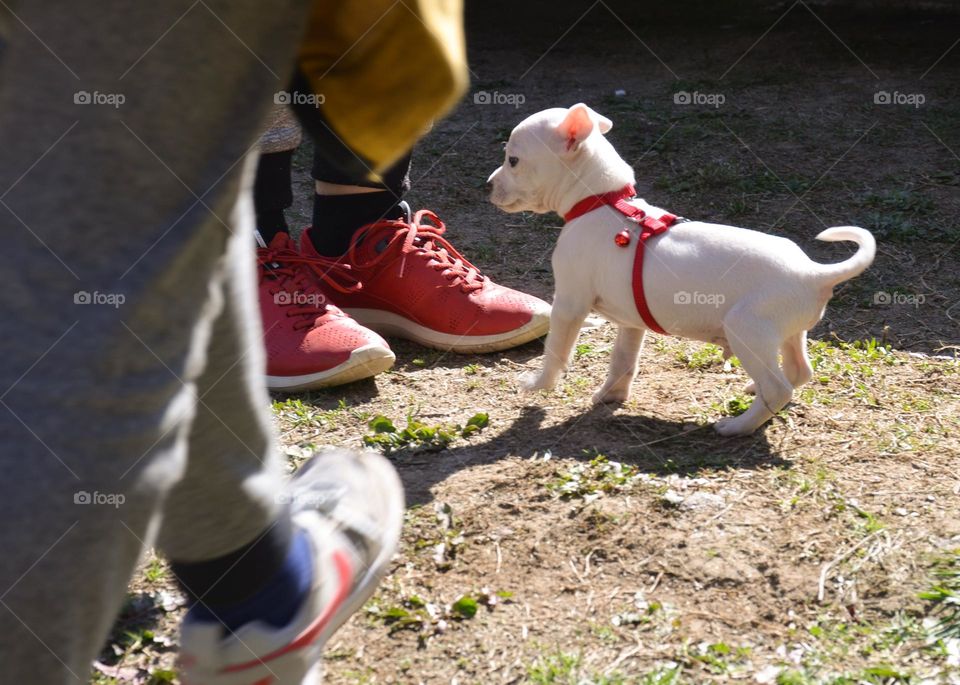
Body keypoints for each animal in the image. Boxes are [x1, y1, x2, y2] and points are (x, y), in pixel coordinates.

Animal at [492, 104, 872, 436]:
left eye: (513, 160)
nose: (487, 185)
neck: (602, 202)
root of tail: (814, 274)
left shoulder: (569, 305)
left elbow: (555, 351)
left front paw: (538, 384)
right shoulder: (631, 323)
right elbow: (623, 360)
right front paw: (610, 396)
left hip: (747, 330)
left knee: (779, 387)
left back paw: (737, 427)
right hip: (789, 334)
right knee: (798, 372)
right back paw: (755, 396)